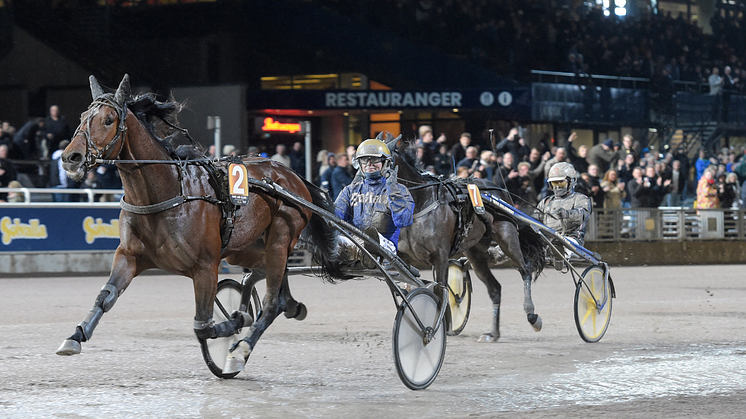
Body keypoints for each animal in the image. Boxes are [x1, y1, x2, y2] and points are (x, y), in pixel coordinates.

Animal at [56, 74, 344, 376]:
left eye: (109, 119)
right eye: (83, 116)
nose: (71, 157)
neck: (169, 191)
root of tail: (292, 176)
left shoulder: (205, 265)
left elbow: (203, 326)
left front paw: (234, 324)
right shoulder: (130, 255)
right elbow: (106, 296)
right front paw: (75, 336)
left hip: (280, 237)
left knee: (271, 302)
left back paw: (241, 349)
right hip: (246, 247)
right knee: (268, 284)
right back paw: (289, 305)